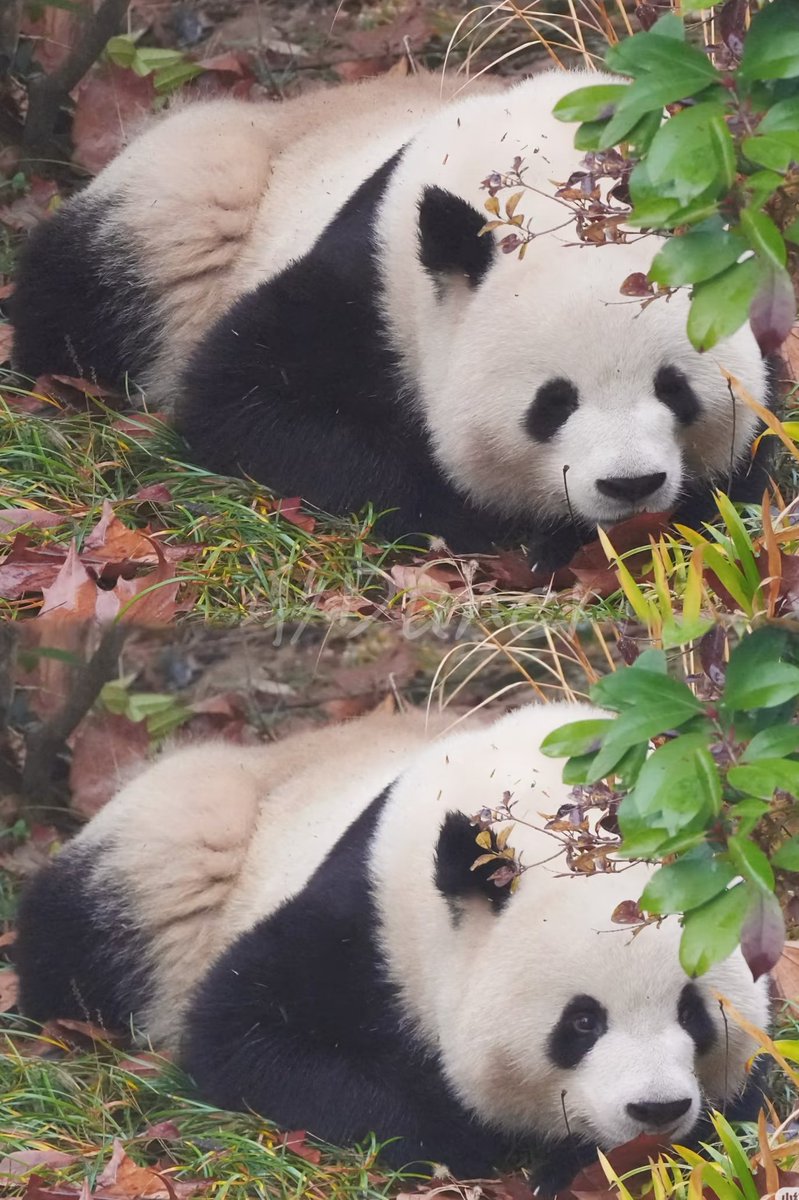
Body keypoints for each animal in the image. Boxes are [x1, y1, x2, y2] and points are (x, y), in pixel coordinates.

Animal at [10, 71, 772, 569]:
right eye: (552, 403)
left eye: (673, 388)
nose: (629, 485)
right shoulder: (372, 280)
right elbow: (242, 396)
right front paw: (490, 520)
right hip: (188, 197)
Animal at [14, 701, 770, 1191]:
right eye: (581, 1022)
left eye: (693, 1013)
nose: (656, 1110)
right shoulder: (369, 917)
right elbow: (242, 1033)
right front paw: (467, 1135)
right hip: (181, 843)